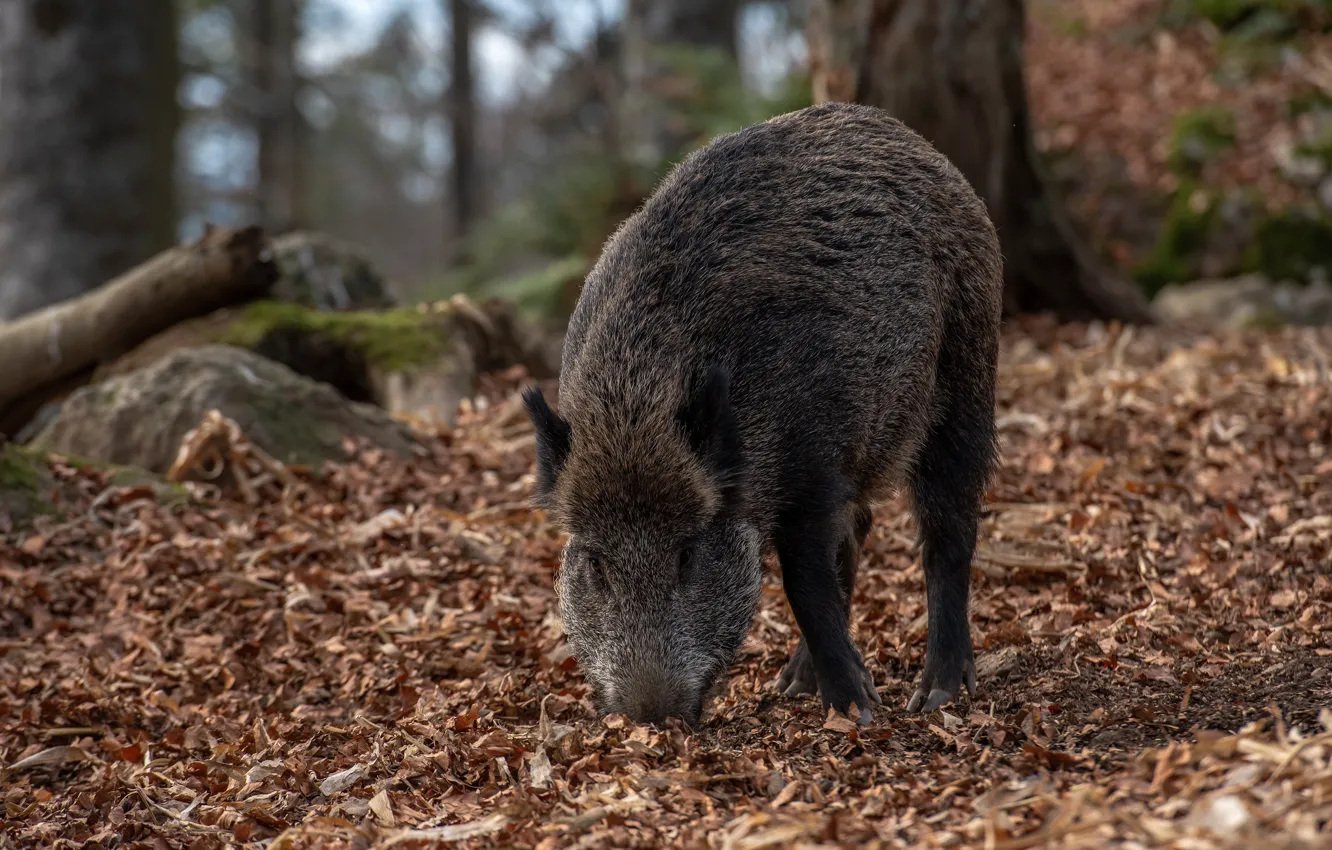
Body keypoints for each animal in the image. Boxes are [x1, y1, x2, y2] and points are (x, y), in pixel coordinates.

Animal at [522, 101, 1002, 727]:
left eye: (688, 554)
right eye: (597, 566)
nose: (651, 716)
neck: (633, 405)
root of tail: (915, 143)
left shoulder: (814, 459)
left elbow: (805, 581)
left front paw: (857, 710)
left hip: (967, 374)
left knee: (947, 531)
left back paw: (936, 695)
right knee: (860, 531)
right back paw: (793, 683)